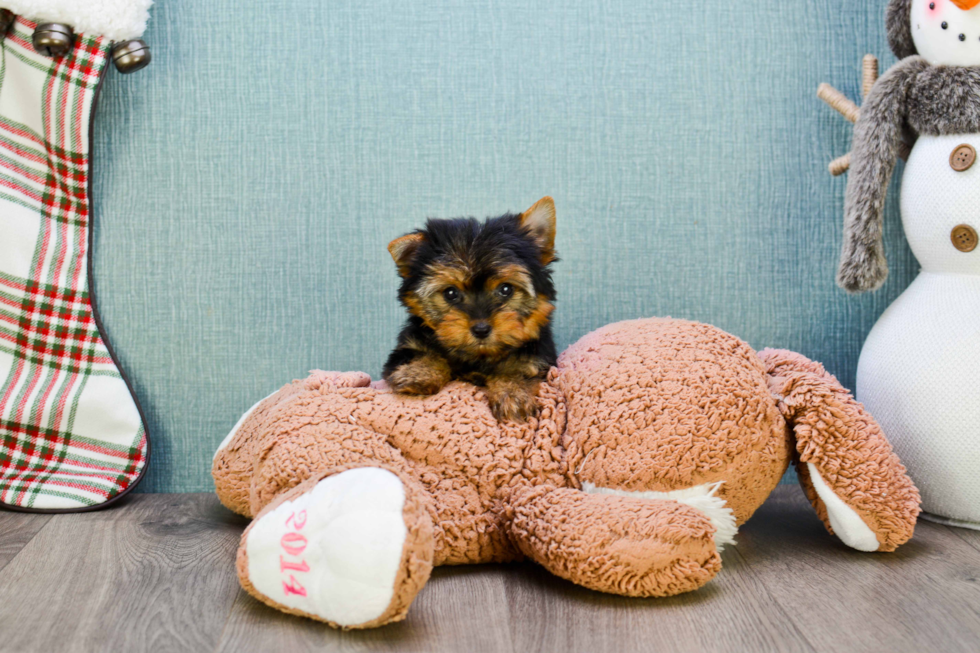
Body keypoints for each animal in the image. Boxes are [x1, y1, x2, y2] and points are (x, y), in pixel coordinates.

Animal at [382, 196, 560, 420]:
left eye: (506, 289)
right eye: (450, 293)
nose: (481, 329)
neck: (478, 356)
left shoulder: (539, 357)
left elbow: (519, 369)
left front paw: (512, 394)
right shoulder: (407, 346)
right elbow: (427, 354)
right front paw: (417, 374)